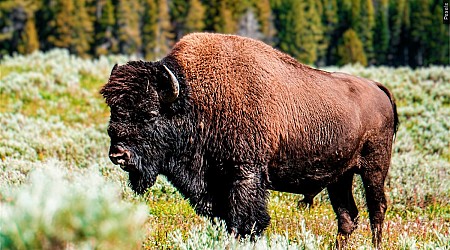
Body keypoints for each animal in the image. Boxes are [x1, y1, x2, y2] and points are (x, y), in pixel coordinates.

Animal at [101, 32, 398, 248]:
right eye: (114, 110)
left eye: (150, 114)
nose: (118, 155)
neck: (195, 100)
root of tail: (377, 87)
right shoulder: (214, 186)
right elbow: (226, 220)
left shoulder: (245, 174)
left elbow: (247, 221)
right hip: (340, 176)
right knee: (347, 216)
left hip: (374, 168)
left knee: (376, 208)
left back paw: (376, 245)